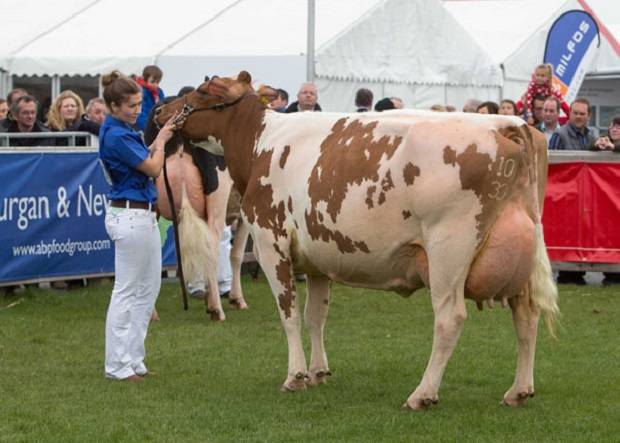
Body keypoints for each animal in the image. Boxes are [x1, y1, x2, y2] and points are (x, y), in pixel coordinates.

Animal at [156, 72, 560, 410]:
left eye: (203, 90)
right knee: (526, 314)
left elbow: (288, 314)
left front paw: (295, 376)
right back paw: (518, 390)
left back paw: (422, 394)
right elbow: (315, 316)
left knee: (450, 319)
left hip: (449, 250)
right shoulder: (316, 258)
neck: (260, 143)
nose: (161, 110)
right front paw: (318, 371)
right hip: (521, 254)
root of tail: (508, 123)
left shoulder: (272, 243)